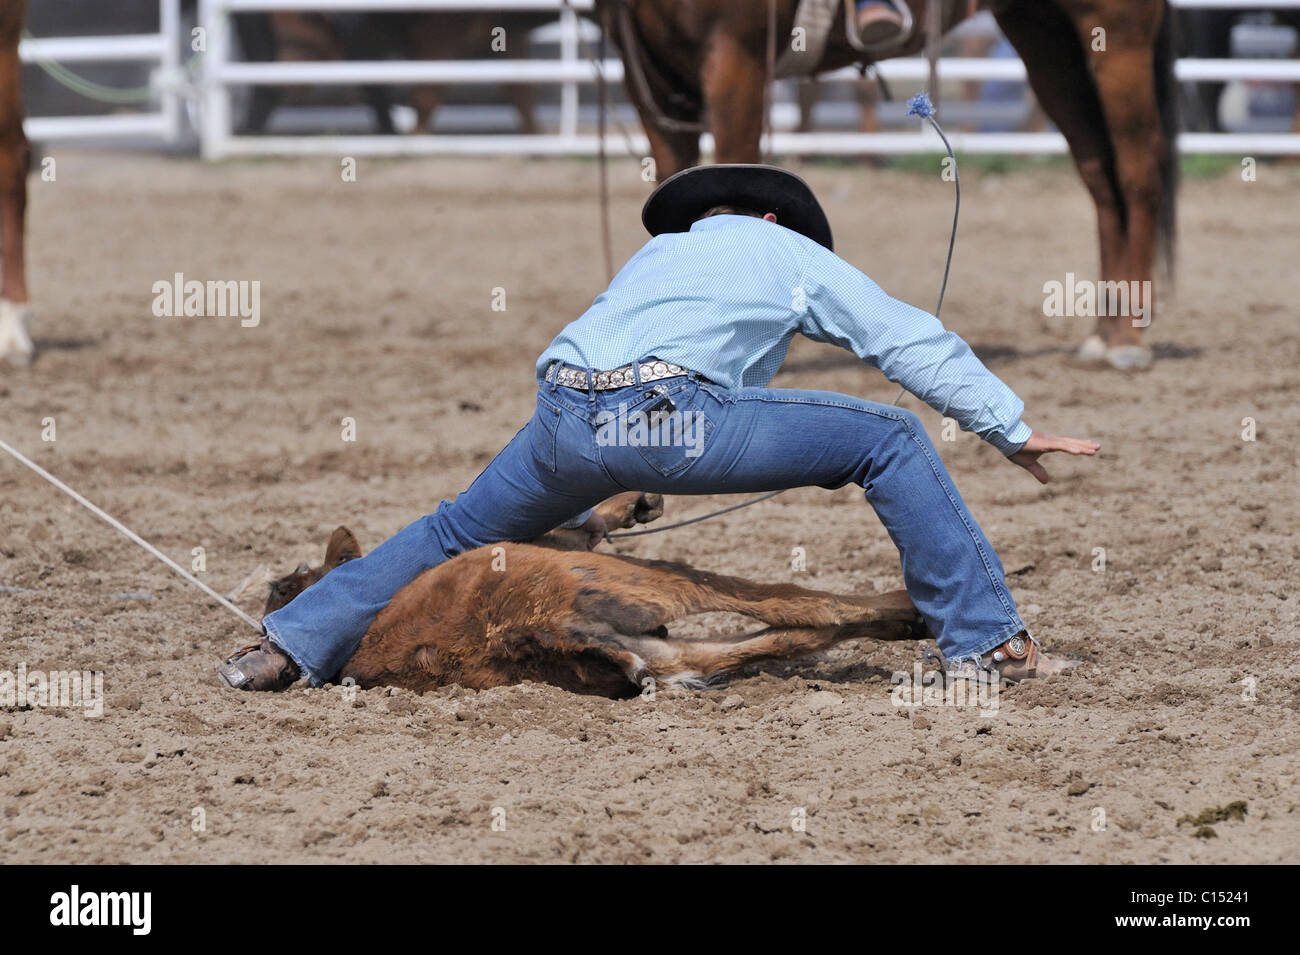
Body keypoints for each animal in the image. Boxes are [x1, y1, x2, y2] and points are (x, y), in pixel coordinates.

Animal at [261, 492, 921, 698]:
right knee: (793, 604)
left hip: (658, 647)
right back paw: (908, 611)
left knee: (777, 637)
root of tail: (523, 628)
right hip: (645, 581)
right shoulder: (566, 541)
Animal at [595, 0, 1179, 369]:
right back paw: (1105, 332)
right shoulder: (648, 74)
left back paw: (1130, 338)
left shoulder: (736, 56)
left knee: (1137, 166)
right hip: (1043, 34)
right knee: (1100, 173)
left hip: (1115, 28)